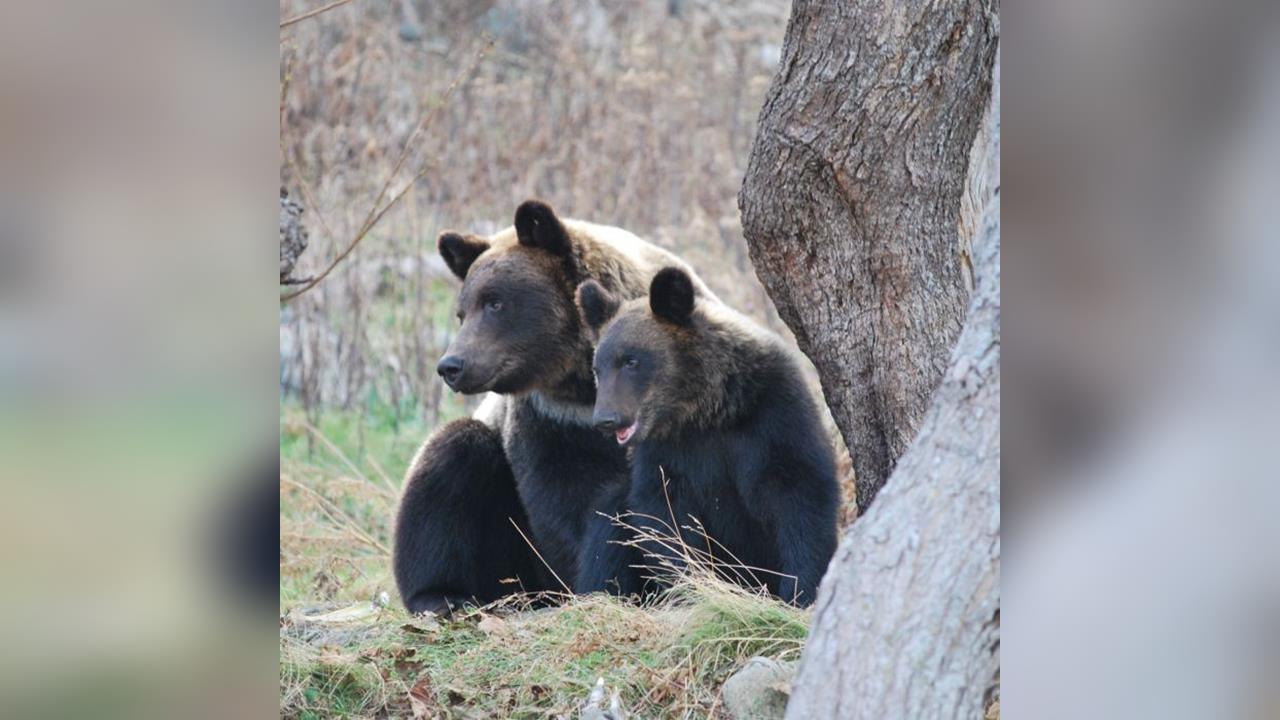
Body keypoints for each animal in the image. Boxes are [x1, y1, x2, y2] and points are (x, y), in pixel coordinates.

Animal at [393, 200, 714, 615]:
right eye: (462, 312)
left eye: (494, 302)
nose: (452, 365)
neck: (581, 387)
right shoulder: (550, 422)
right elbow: (561, 505)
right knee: (448, 465)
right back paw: (442, 594)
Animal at [572, 267, 839, 606]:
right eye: (598, 368)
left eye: (631, 360)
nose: (606, 419)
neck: (707, 409)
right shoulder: (666, 451)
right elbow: (663, 516)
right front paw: (691, 585)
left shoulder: (773, 415)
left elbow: (800, 493)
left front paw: (800, 589)